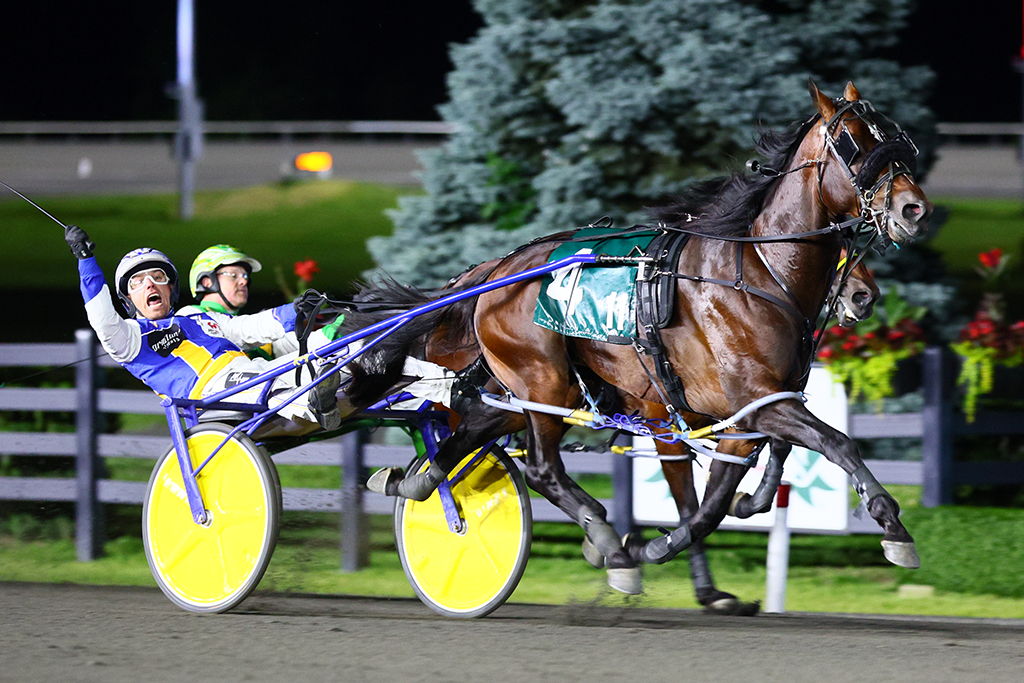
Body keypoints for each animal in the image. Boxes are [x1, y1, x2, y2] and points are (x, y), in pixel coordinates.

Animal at [358, 80, 929, 593]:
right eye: (855, 142)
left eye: (897, 137)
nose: (913, 208)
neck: (757, 273)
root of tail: (497, 269)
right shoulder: (752, 400)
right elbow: (836, 442)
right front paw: (893, 526)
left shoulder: (748, 411)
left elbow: (718, 500)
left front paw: (673, 540)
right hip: (542, 382)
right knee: (541, 468)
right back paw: (607, 543)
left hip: (534, 391)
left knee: (473, 427)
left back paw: (415, 480)